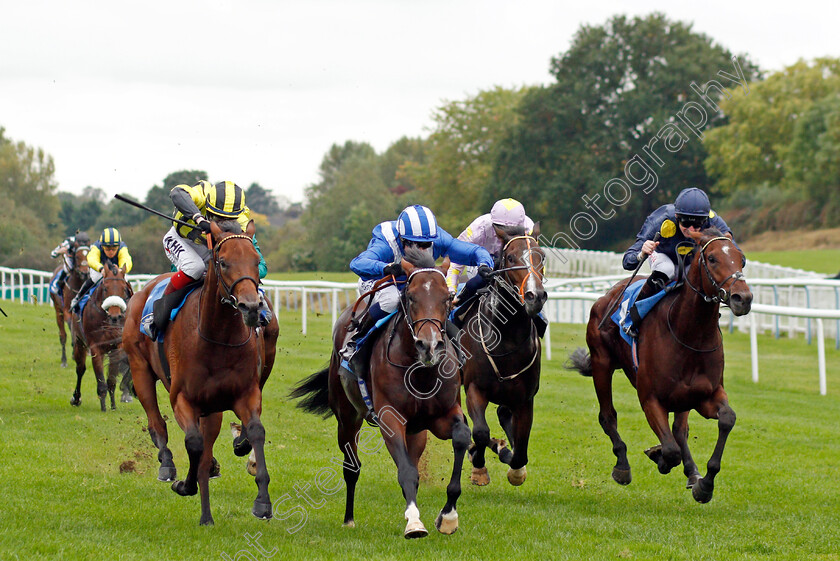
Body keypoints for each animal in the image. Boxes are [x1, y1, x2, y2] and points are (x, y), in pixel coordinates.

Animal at [68, 262, 133, 412]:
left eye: (124, 289)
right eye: (105, 288)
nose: (115, 316)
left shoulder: (117, 347)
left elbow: (111, 380)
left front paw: (113, 405)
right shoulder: (95, 348)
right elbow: (100, 380)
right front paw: (103, 406)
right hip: (79, 342)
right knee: (80, 369)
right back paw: (76, 398)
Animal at [121, 219, 280, 524]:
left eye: (256, 261)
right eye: (223, 262)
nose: (251, 307)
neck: (218, 338)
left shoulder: (245, 394)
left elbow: (256, 431)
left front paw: (262, 501)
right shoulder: (182, 398)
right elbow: (193, 443)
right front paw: (185, 484)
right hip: (140, 369)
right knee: (156, 422)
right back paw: (167, 464)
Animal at [292, 247, 470, 536]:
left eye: (448, 298)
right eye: (411, 296)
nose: (430, 346)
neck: (419, 373)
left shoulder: (443, 414)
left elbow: (462, 437)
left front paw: (448, 516)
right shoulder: (390, 417)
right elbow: (405, 471)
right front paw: (414, 523)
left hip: (416, 430)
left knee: (413, 460)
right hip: (347, 416)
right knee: (352, 467)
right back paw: (349, 518)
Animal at [456, 224, 548, 486]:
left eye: (542, 257)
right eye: (510, 258)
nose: (535, 296)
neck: (507, 337)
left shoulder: (525, 398)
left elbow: (521, 450)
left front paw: (514, 466)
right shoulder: (475, 388)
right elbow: (479, 431)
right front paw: (479, 465)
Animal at [564, 229, 756, 504]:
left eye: (742, 259)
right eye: (711, 258)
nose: (743, 298)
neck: (689, 334)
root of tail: (607, 295)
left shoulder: (705, 395)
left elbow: (726, 419)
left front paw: (704, 484)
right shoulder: (651, 399)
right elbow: (670, 449)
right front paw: (660, 457)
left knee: (679, 429)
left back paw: (692, 472)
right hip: (602, 364)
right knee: (607, 416)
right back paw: (622, 465)